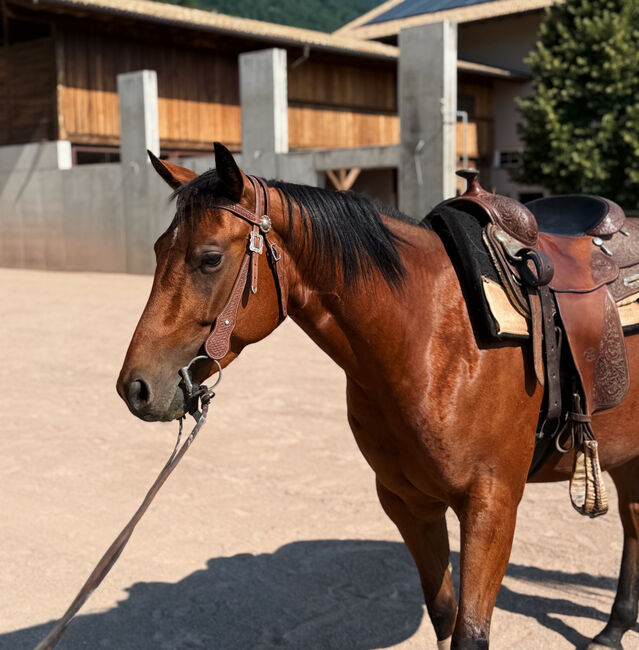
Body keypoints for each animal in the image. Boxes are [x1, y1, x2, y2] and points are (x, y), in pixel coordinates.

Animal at [117, 142, 639, 650]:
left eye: (210, 258)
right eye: (159, 249)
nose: (135, 388)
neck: (435, 338)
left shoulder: (492, 508)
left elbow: (469, 633)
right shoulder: (408, 503)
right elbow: (444, 614)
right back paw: (614, 628)